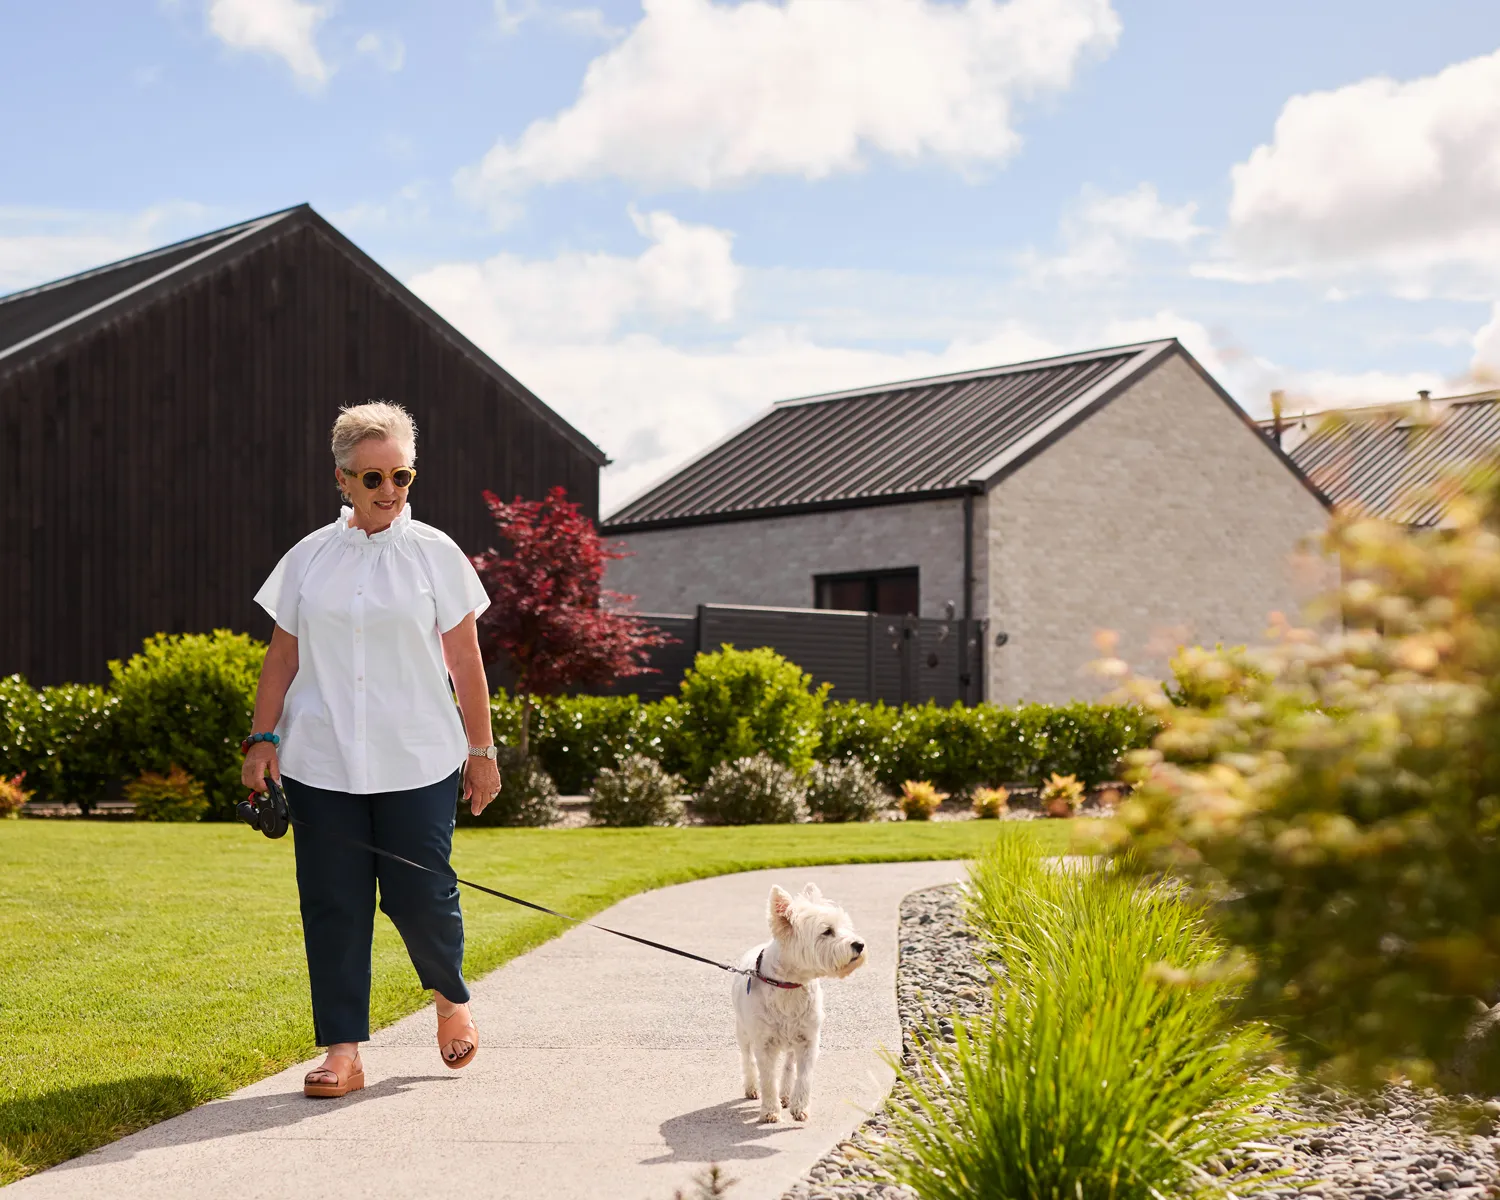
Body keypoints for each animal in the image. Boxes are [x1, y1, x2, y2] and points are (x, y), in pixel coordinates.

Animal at [729, 882, 870, 1128]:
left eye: (845, 926)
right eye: (827, 931)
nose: (859, 945)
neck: (789, 985)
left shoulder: (808, 1040)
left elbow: (804, 1076)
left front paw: (799, 1107)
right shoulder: (764, 1043)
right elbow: (768, 1078)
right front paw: (770, 1111)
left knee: (788, 1065)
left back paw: (786, 1094)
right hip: (743, 1032)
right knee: (747, 1059)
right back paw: (752, 1088)